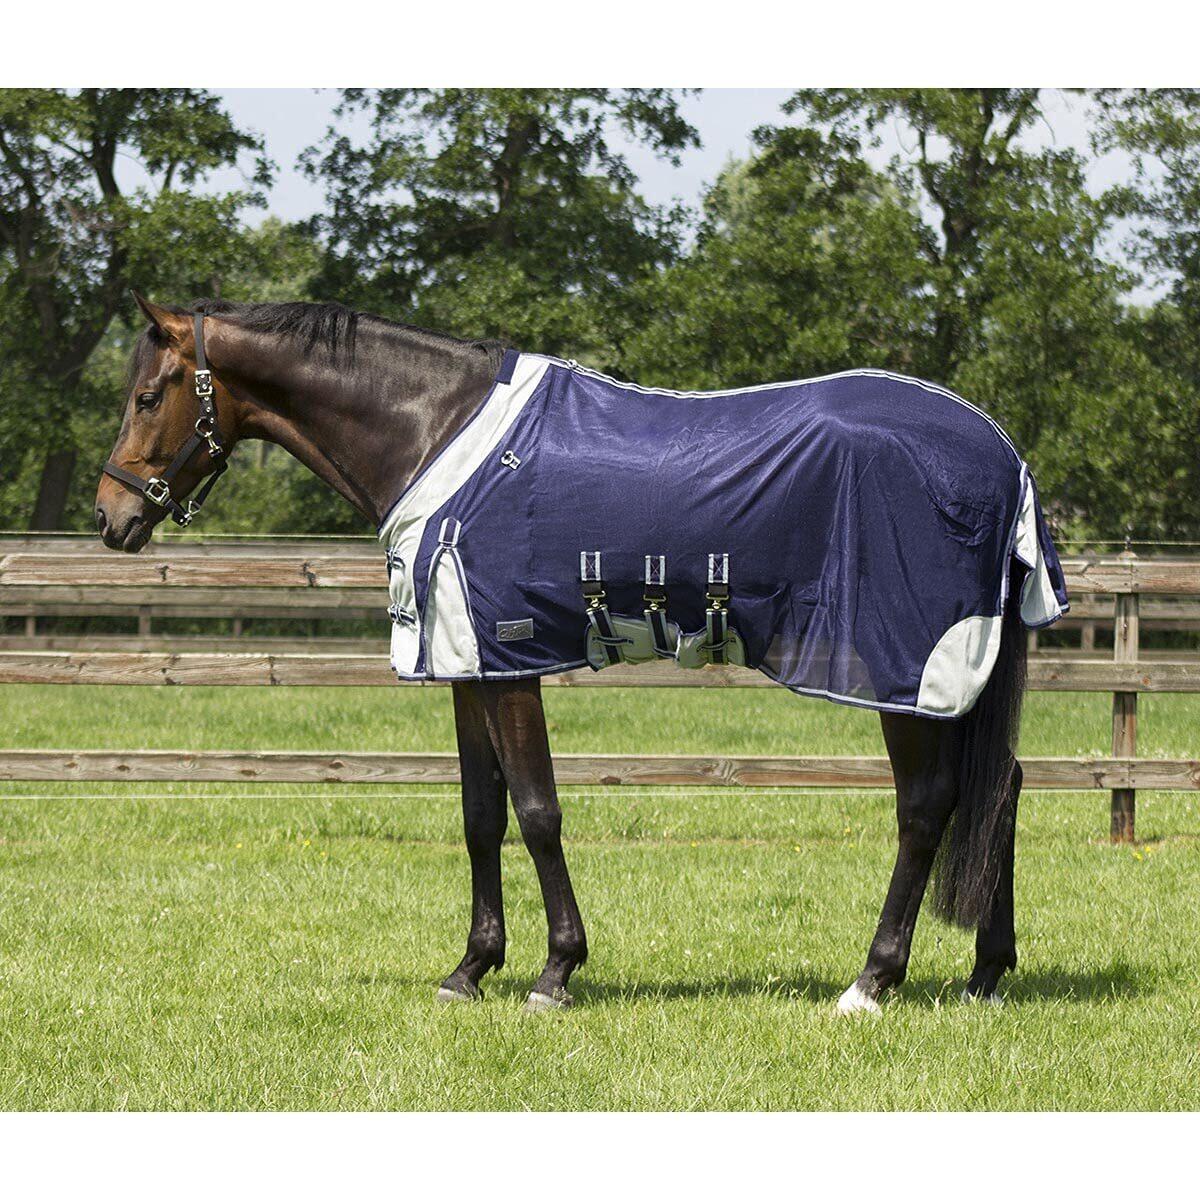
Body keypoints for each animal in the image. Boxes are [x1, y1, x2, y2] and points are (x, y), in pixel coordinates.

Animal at [95, 294, 1066, 1014]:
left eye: (148, 396)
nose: (113, 518)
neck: (431, 425)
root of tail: (1002, 456)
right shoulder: (469, 662)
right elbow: (480, 815)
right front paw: (470, 968)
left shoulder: (510, 660)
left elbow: (537, 811)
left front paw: (555, 972)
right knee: (1000, 789)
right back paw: (985, 972)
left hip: (904, 668)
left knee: (929, 805)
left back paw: (871, 980)